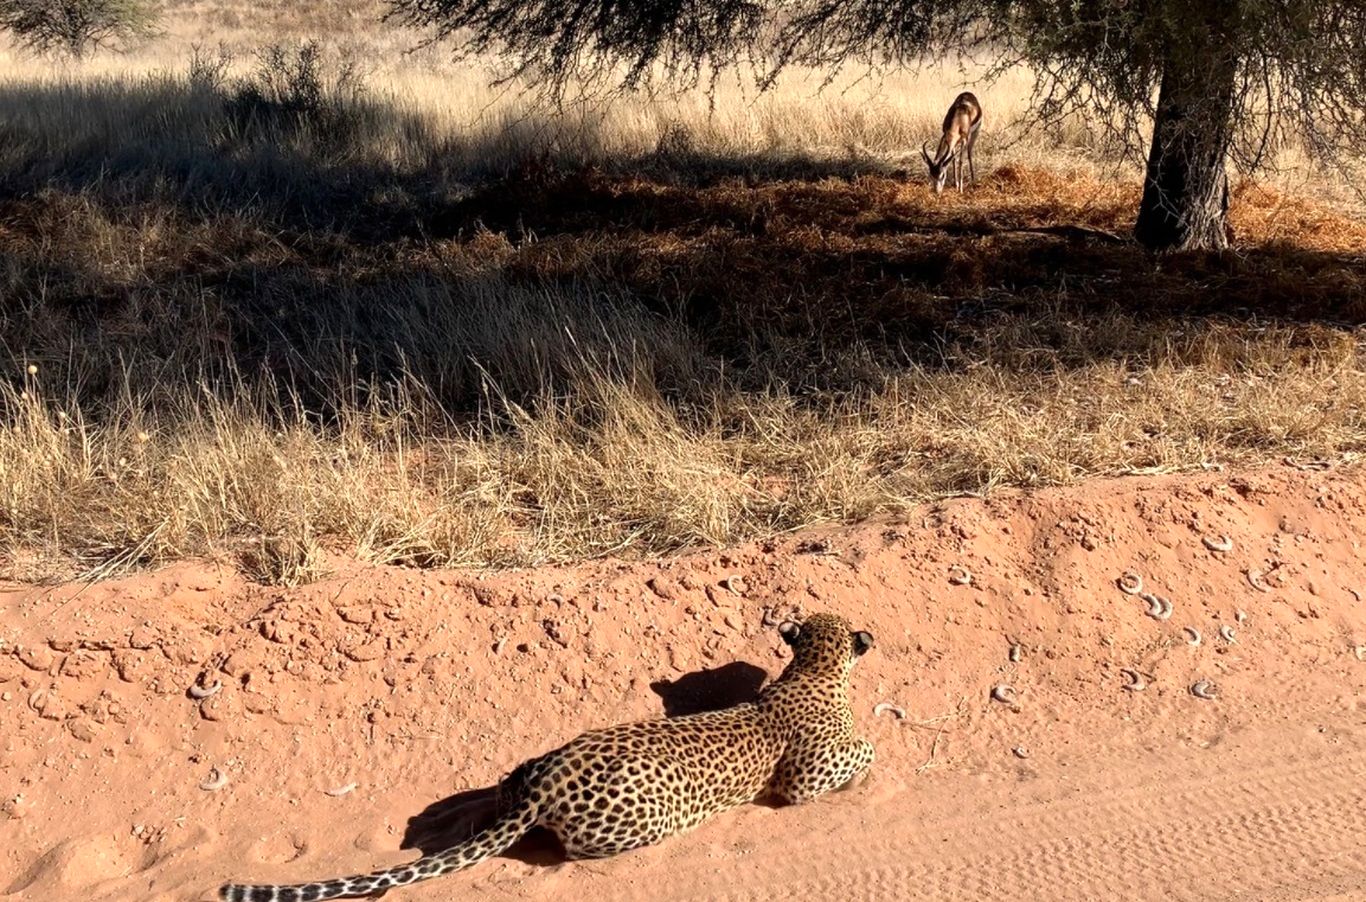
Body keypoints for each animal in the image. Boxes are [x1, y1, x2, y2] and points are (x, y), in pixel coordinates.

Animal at [213, 609, 874, 896]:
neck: (812, 668)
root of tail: (549, 782)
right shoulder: (801, 779)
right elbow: (862, 749)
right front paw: (869, 753)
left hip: (531, 764)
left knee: (503, 790)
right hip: (642, 821)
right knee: (572, 850)